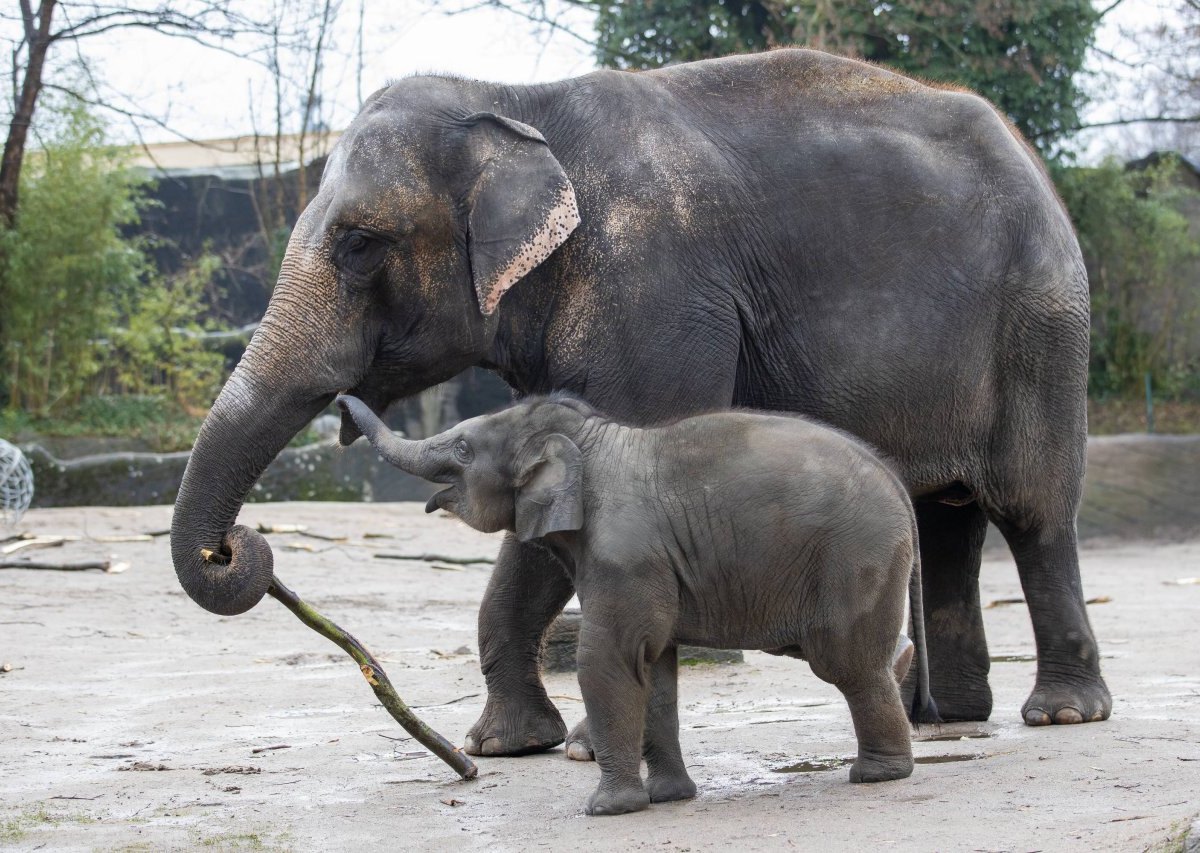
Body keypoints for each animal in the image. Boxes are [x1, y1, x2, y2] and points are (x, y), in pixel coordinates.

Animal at [171, 50, 1113, 758]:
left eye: (361, 245)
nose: (237, 548)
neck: (514, 101)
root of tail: (1033, 161)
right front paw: (506, 746)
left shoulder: (656, 296)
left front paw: (578, 747)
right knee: (946, 517)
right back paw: (945, 717)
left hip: (1041, 325)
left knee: (1032, 508)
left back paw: (1062, 712)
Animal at [336, 391, 936, 815]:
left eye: (463, 449)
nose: (340, 405)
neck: (592, 439)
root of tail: (898, 487)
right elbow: (653, 667)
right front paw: (670, 798)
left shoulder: (624, 555)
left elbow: (607, 658)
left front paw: (607, 811)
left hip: (854, 557)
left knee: (844, 661)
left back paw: (878, 775)